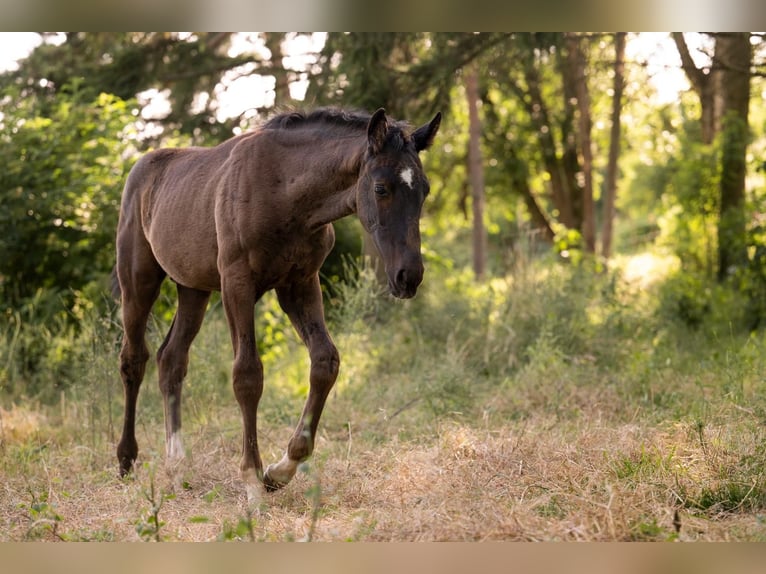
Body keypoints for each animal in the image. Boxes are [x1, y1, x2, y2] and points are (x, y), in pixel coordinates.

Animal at [111, 108, 440, 504]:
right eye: (380, 188)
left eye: (424, 189)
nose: (409, 277)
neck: (284, 191)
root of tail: (139, 168)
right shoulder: (237, 284)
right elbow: (247, 375)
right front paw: (252, 480)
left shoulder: (299, 284)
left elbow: (325, 362)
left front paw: (279, 472)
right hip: (138, 281)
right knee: (134, 360)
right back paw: (126, 460)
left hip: (193, 288)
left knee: (171, 359)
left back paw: (177, 468)